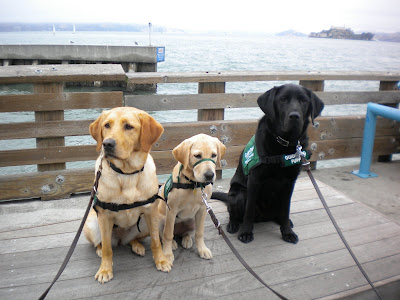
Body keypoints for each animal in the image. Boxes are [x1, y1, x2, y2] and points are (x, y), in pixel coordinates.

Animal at [83, 107, 172, 284]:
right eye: (107, 125)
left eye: (129, 127)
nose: (107, 144)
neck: (127, 173)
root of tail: (120, 238)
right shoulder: (104, 216)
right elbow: (108, 249)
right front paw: (105, 270)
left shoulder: (151, 212)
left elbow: (156, 242)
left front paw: (161, 261)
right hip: (92, 225)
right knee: (102, 243)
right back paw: (99, 249)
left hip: (143, 224)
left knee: (131, 240)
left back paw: (137, 246)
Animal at [159, 134, 225, 262]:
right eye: (197, 156)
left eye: (214, 155)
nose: (209, 175)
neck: (193, 184)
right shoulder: (171, 210)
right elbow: (167, 234)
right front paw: (167, 254)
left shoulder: (202, 209)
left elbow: (199, 233)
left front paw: (202, 249)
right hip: (161, 220)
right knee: (165, 234)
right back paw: (173, 243)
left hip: (192, 221)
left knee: (187, 233)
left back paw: (187, 239)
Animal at [214, 84, 324, 244]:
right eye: (283, 99)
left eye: (304, 101)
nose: (295, 116)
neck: (284, 144)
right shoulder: (254, 181)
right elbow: (249, 210)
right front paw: (246, 232)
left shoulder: (290, 183)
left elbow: (286, 210)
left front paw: (287, 232)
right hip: (238, 195)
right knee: (233, 212)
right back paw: (233, 224)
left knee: (280, 212)